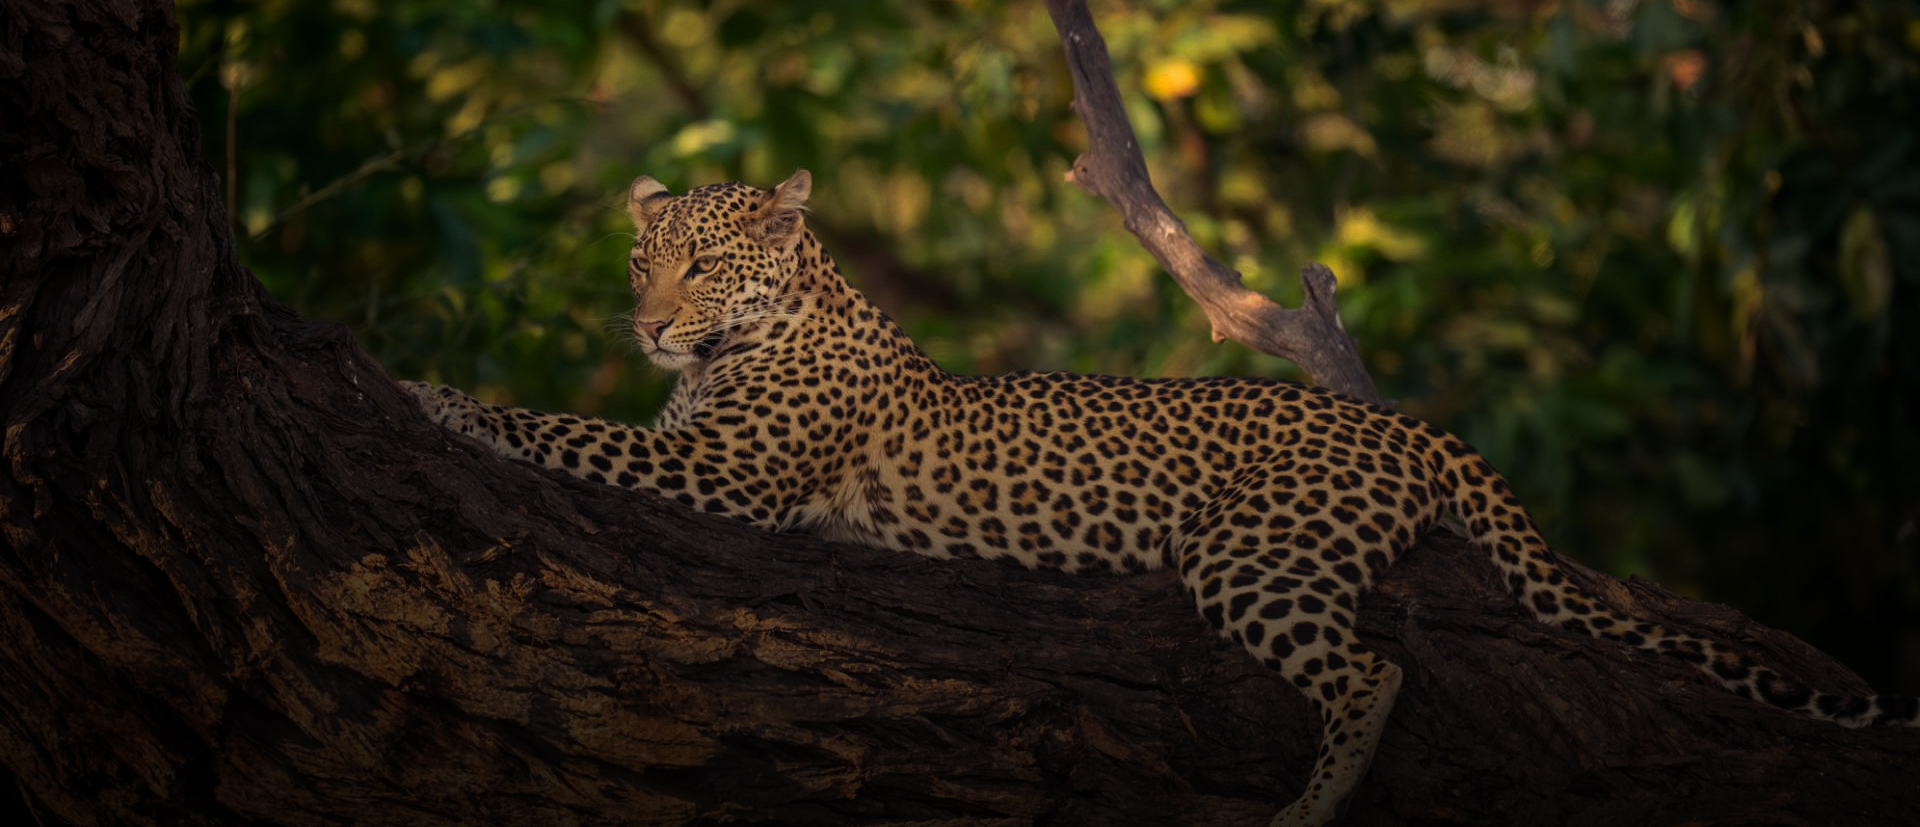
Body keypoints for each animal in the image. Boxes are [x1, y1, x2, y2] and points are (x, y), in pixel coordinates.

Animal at [407, 170, 1920, 826]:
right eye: (640, 258)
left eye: (705, 266)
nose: (651, 324)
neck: (772, 326)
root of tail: (1401, 423)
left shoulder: (724, 475)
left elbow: (555, 426)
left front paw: (435, 398)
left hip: (1254, 550)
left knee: (1370, 668)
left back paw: (1310, 807)